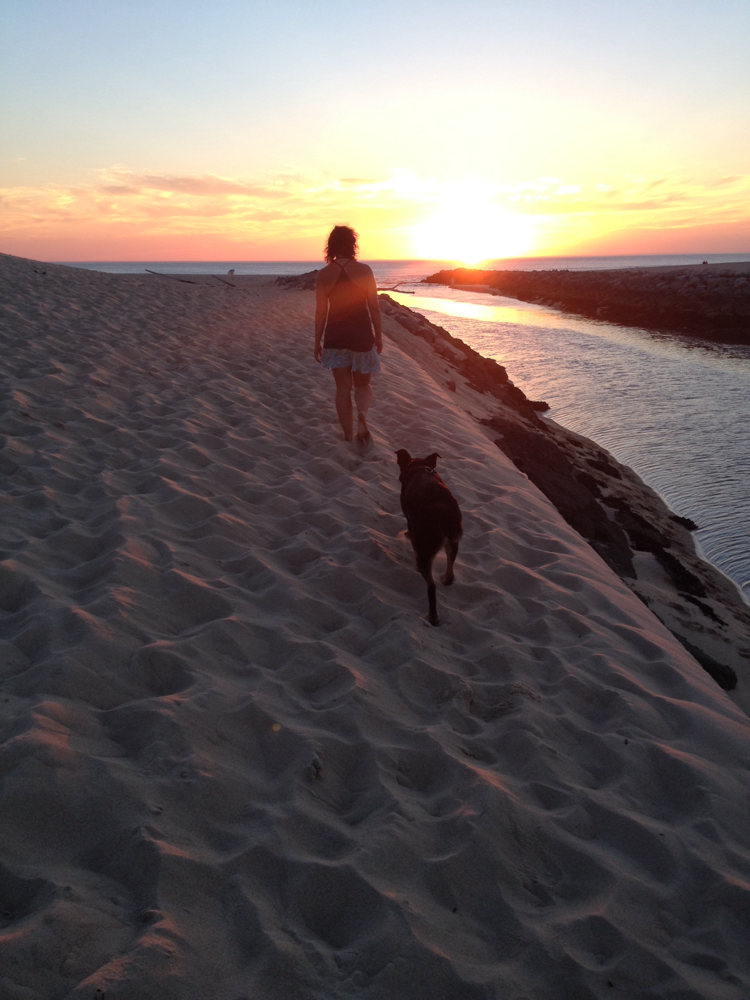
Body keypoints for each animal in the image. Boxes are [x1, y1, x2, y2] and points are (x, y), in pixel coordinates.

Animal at [394, 448, 464, 620]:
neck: (420, 467)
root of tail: (443, 515)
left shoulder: (411, 521)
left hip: (425, 551)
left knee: (431, 586)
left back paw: (433, 617)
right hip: (453, 544)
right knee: (450, 572)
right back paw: (445, 580)